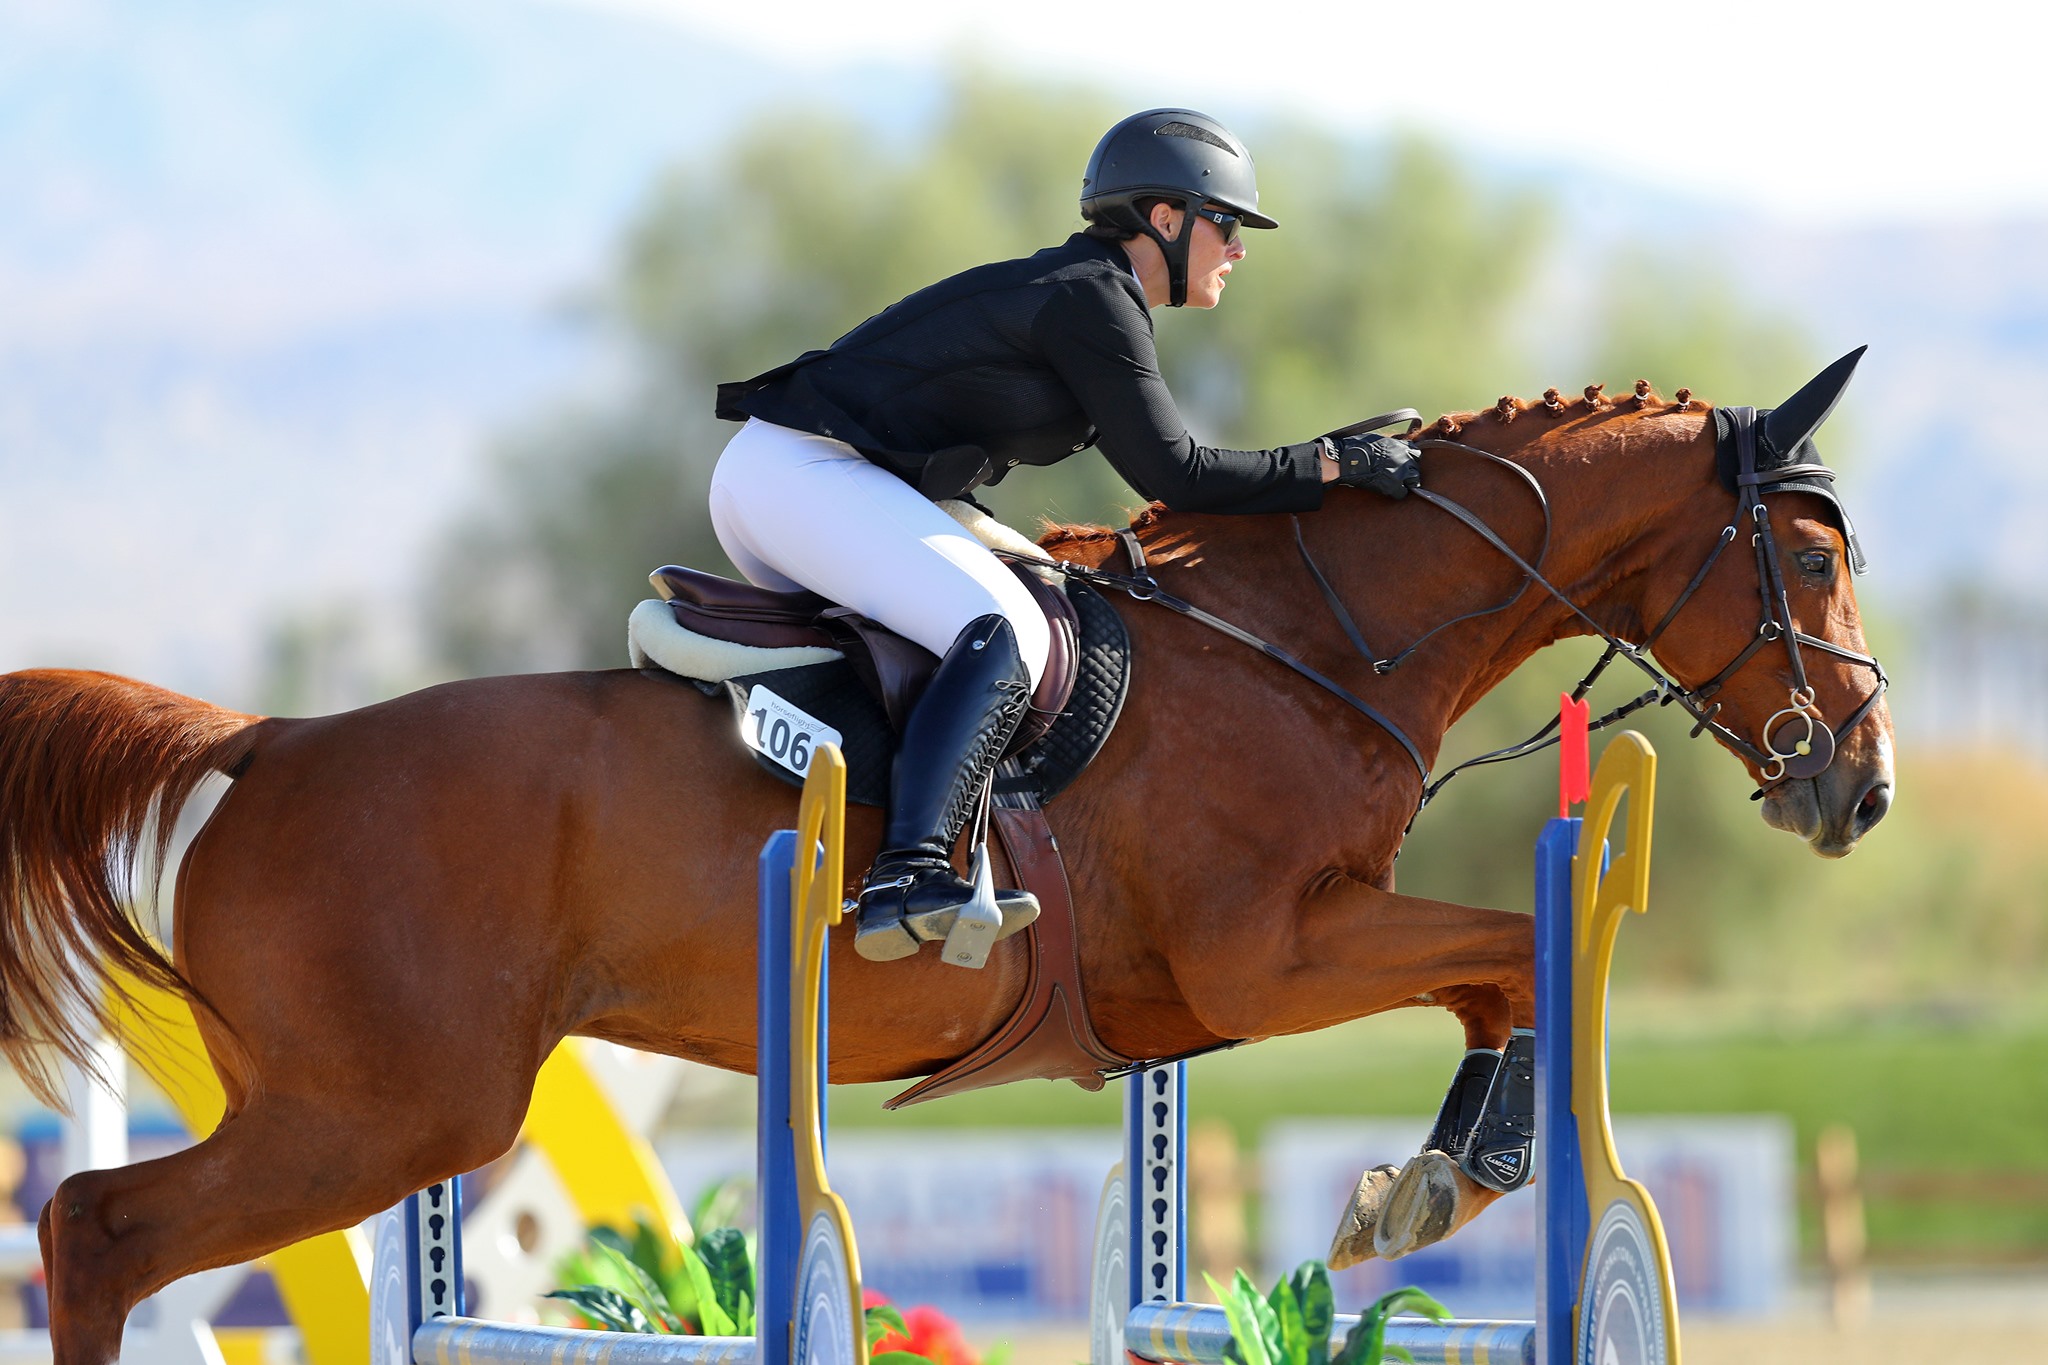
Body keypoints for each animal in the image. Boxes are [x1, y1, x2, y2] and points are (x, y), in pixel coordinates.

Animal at [0, 368, 1892, 1363]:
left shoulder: (1260, 971)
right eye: (1808, 555)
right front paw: (1442, 1181)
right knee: (98, 1229)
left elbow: (1506, 968)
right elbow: (1507, 949)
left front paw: (1428, 1181)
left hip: (365, 1110)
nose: (1858, 792)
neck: (1301, 640)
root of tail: (267, 749)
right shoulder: (1264, 956)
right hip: (388, 1112)